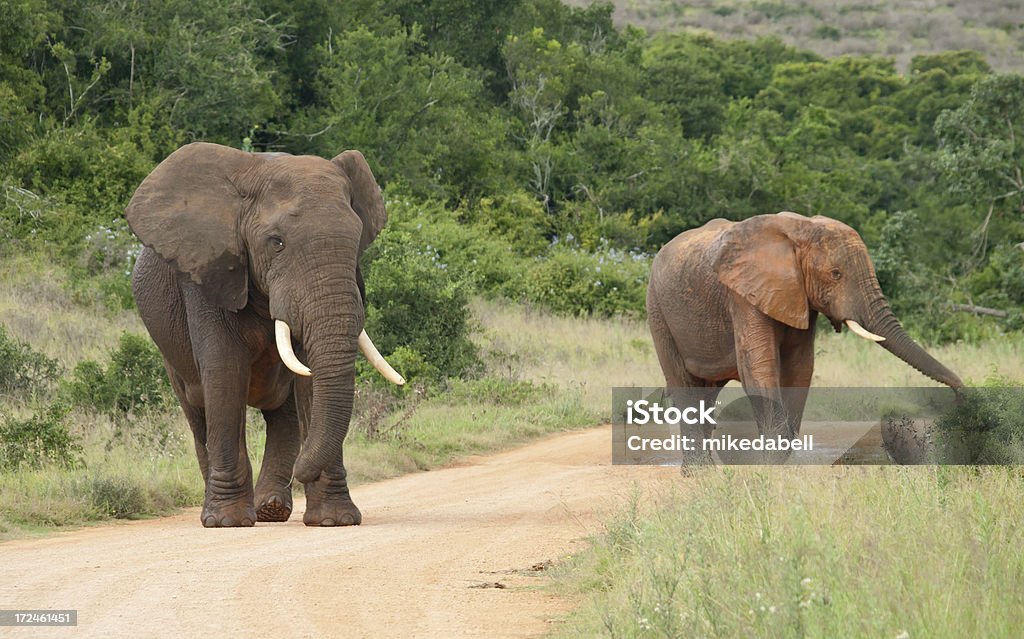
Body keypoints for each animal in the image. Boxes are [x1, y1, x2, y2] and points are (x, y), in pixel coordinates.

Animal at [125, 142, 401, 528]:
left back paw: (271, 508)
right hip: (169, 355)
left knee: (281, 414)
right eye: (276, 243)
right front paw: (226, 522)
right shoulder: (207, 273)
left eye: (357, 240)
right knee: (198, 414)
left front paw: (335, 520)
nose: (303, 472)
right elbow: (224, 375)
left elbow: (310, 381)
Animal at [643, 211, 962, 446]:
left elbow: (799, 369)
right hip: (658, 310)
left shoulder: (798, 297)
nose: (960, 396)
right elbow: (759, 370)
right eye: (836, 274)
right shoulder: (743, 297)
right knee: (685, 386)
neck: (801, 229)